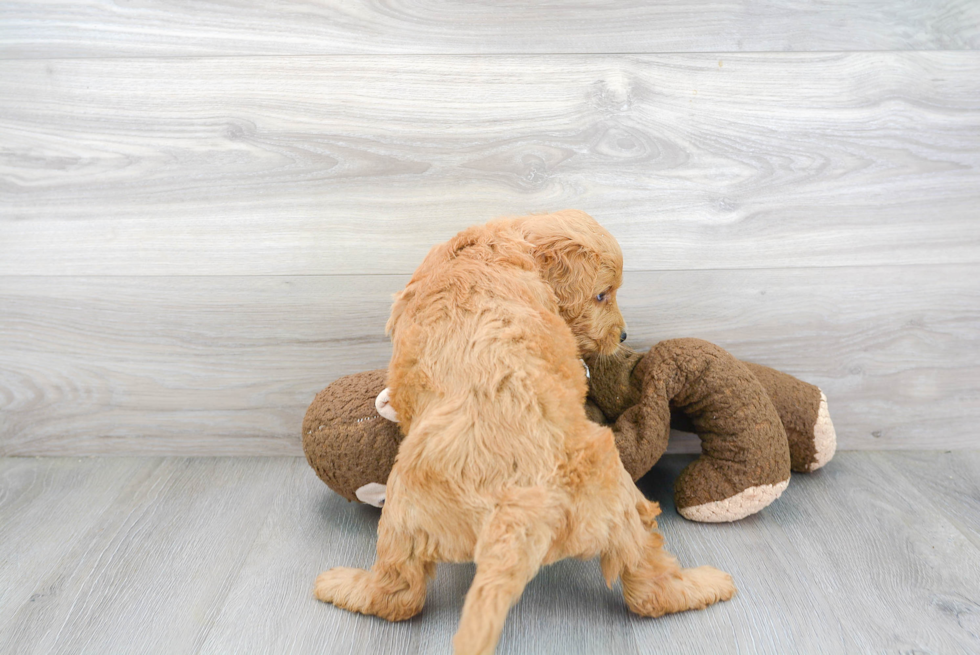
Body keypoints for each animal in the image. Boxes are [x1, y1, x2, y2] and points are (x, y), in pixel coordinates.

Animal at [314, 211, 736, 655]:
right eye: (602, 295)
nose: (622, 336)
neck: (501, 244)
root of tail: (518, 506)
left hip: (402, 512)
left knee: (397, 594)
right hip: (612, 498)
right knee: (647, 582)